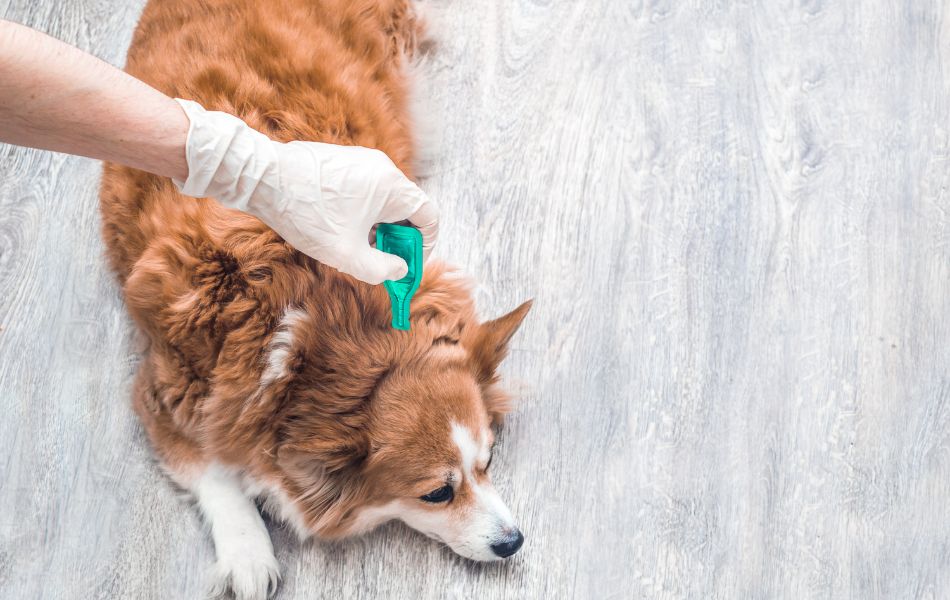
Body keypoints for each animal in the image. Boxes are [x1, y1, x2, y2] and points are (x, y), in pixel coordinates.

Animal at [99, 2, 532, 596]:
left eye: (487, 462)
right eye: (437, 493)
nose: (514, 541)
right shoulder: (163, 391)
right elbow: (214, 471)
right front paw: (248, 555)